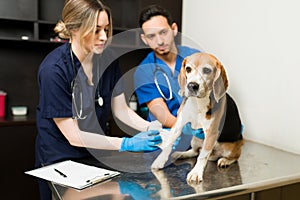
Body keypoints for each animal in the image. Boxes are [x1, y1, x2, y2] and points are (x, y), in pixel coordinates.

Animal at [152, 52, 244, 184]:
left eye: (207, 70)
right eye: (188, 69)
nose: (192, 85)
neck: (198, 102)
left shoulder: (211, 133)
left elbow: (202, 156)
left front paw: (196, 173)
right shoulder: (178, 124)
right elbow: (169, 143)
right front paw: (160, 160)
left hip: (230, 148)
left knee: (233, 157)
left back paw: (225, 160)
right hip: (195, 139)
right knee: (195, 151)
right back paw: (181, 154)